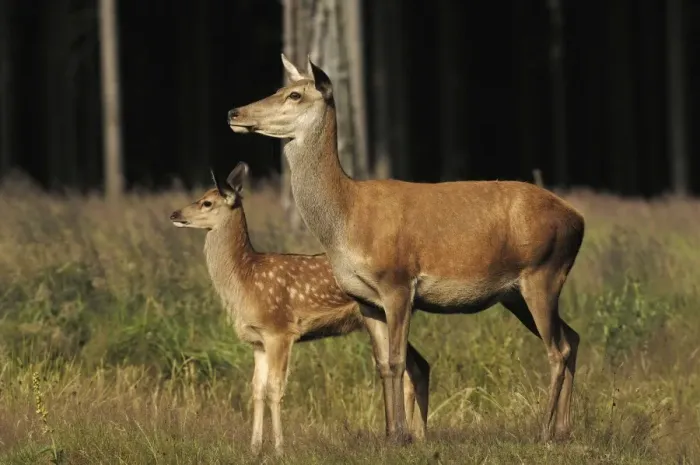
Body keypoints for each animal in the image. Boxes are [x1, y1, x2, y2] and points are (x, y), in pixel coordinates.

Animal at [169, 162, 431, 456]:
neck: (245, 279)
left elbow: (274, 388)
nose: (174, 213)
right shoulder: (258, 341)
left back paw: (412, 436)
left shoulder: (279, 330)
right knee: (419, 366)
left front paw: (279, 449)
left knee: (410, 367)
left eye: (207, 202)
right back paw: (418, 436)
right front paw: (254, 448)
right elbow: (256, 389)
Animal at [226, 55, 586, 444]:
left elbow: (398, 361)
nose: (234, 111)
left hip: (543, 272)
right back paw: (565, 428)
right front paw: (390, 434)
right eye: (279, 87)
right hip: (515, 293)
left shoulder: (397, 281)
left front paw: (400, 436)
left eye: (294, 94)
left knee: (557, 349)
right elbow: (382, 364)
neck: (346, 217)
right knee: (573, 337)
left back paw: (545, 431)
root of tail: (578, 220)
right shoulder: (365, 298)